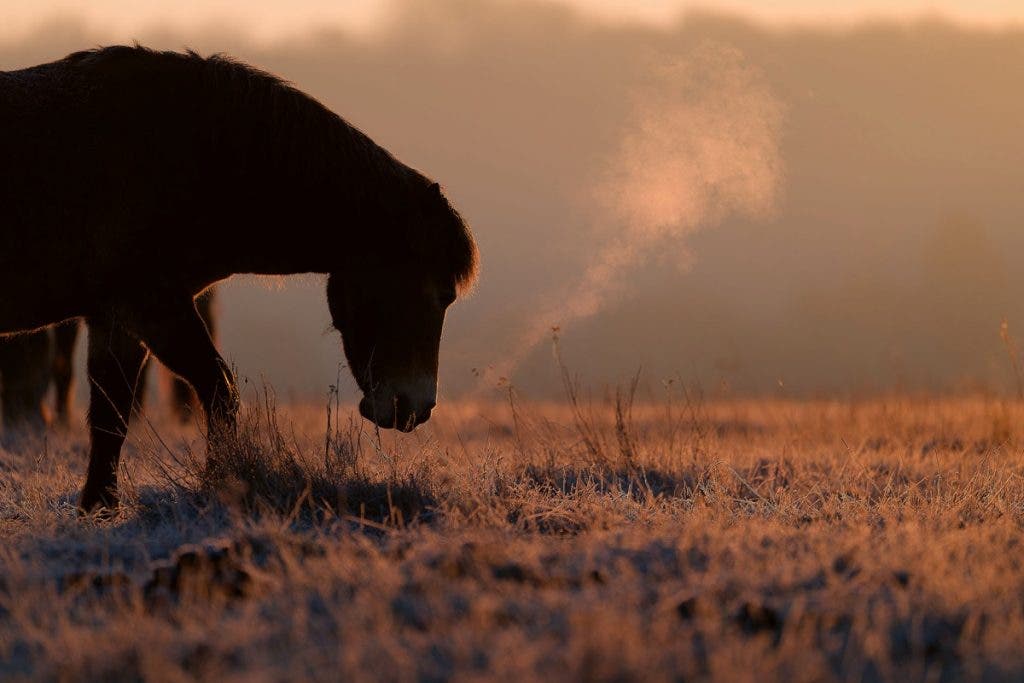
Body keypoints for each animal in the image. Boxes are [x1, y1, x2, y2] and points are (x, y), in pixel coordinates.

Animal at [0, 46, 478, 512]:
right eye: (438, 293)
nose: (414, 408)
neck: (194, 153)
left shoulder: (115, 318)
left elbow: (111, 416)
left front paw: (98, 508)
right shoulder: (153, 307)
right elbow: (218, 392)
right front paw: (220, 483)